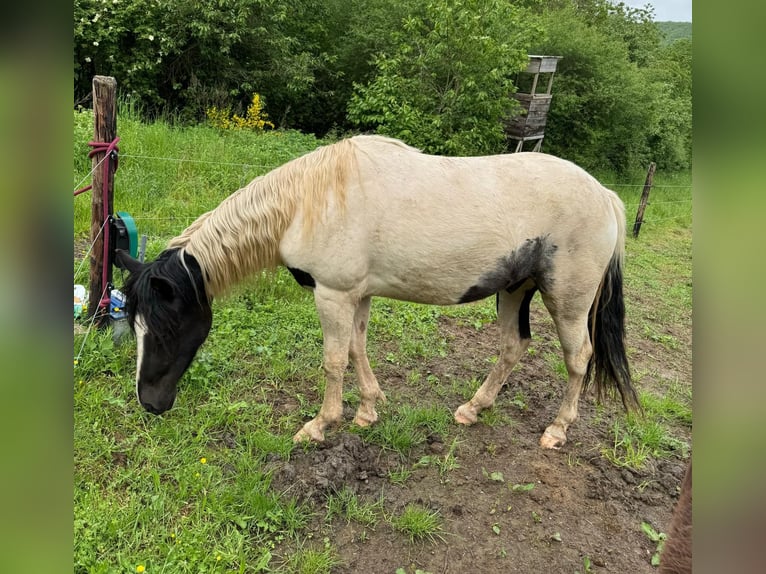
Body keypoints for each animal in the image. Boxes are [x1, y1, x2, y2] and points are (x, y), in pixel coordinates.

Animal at [115, 134, 640, 450]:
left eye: (165, 328)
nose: (149, 403)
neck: (307, 204)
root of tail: (606, 196)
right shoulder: (356, 295)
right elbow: (357, 349)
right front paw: (367, 410)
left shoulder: (332, 293)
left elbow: (333, 360)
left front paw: (321, 425)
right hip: (514, 289)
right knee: (513, 348)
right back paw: (472, 410)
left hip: (566, 301)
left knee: (578, 358)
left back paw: (557, 430)